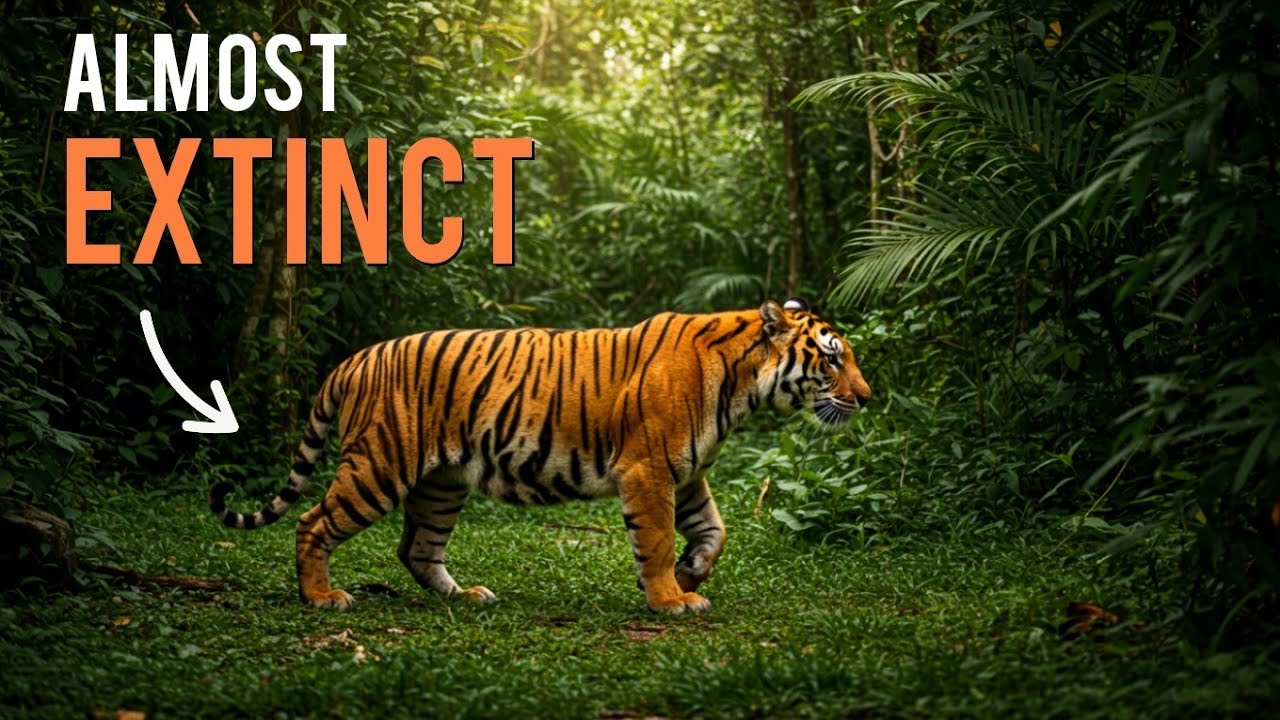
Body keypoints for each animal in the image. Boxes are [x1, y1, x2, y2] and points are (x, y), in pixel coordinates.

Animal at [210, 298, 872, 614]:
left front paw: (690, 575)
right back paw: (320, 597)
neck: (742, 388)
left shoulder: (686, 473)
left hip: (442, 482)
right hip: (379, 464)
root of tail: (355, 359)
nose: (866, 397)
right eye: (832, 357)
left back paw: (465, 596)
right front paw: (669, 598)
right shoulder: (649, 470)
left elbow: (715, 531)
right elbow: (657, 539)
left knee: (417, 547)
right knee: (311, 521)